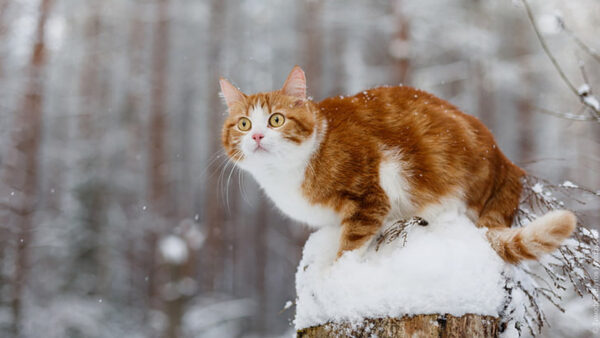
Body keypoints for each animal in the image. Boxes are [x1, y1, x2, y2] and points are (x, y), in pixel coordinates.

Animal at [218, 66, 576, 264]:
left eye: (276, 120)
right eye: (244, 124)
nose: (258, 136)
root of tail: (507, 162)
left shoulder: (370, 196)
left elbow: (351, 245)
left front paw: (335, 276)